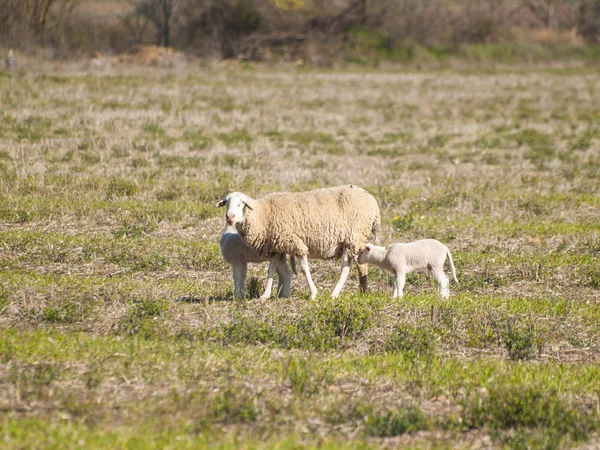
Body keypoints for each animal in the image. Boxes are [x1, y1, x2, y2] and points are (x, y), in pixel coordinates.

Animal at [218, 185, 382, 300]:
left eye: (241, 203)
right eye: (226, 203)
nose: (230, 217)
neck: (262, 214)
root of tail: (372, 200)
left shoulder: (295, 243)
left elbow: (304, 269)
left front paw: (313, 293)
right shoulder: (275, 246)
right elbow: (271, 270)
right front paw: (265, 295)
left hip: (353, 237)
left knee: (347, 268)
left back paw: (335, 293)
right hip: (355, 239)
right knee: (361, 262)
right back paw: (362, 291)